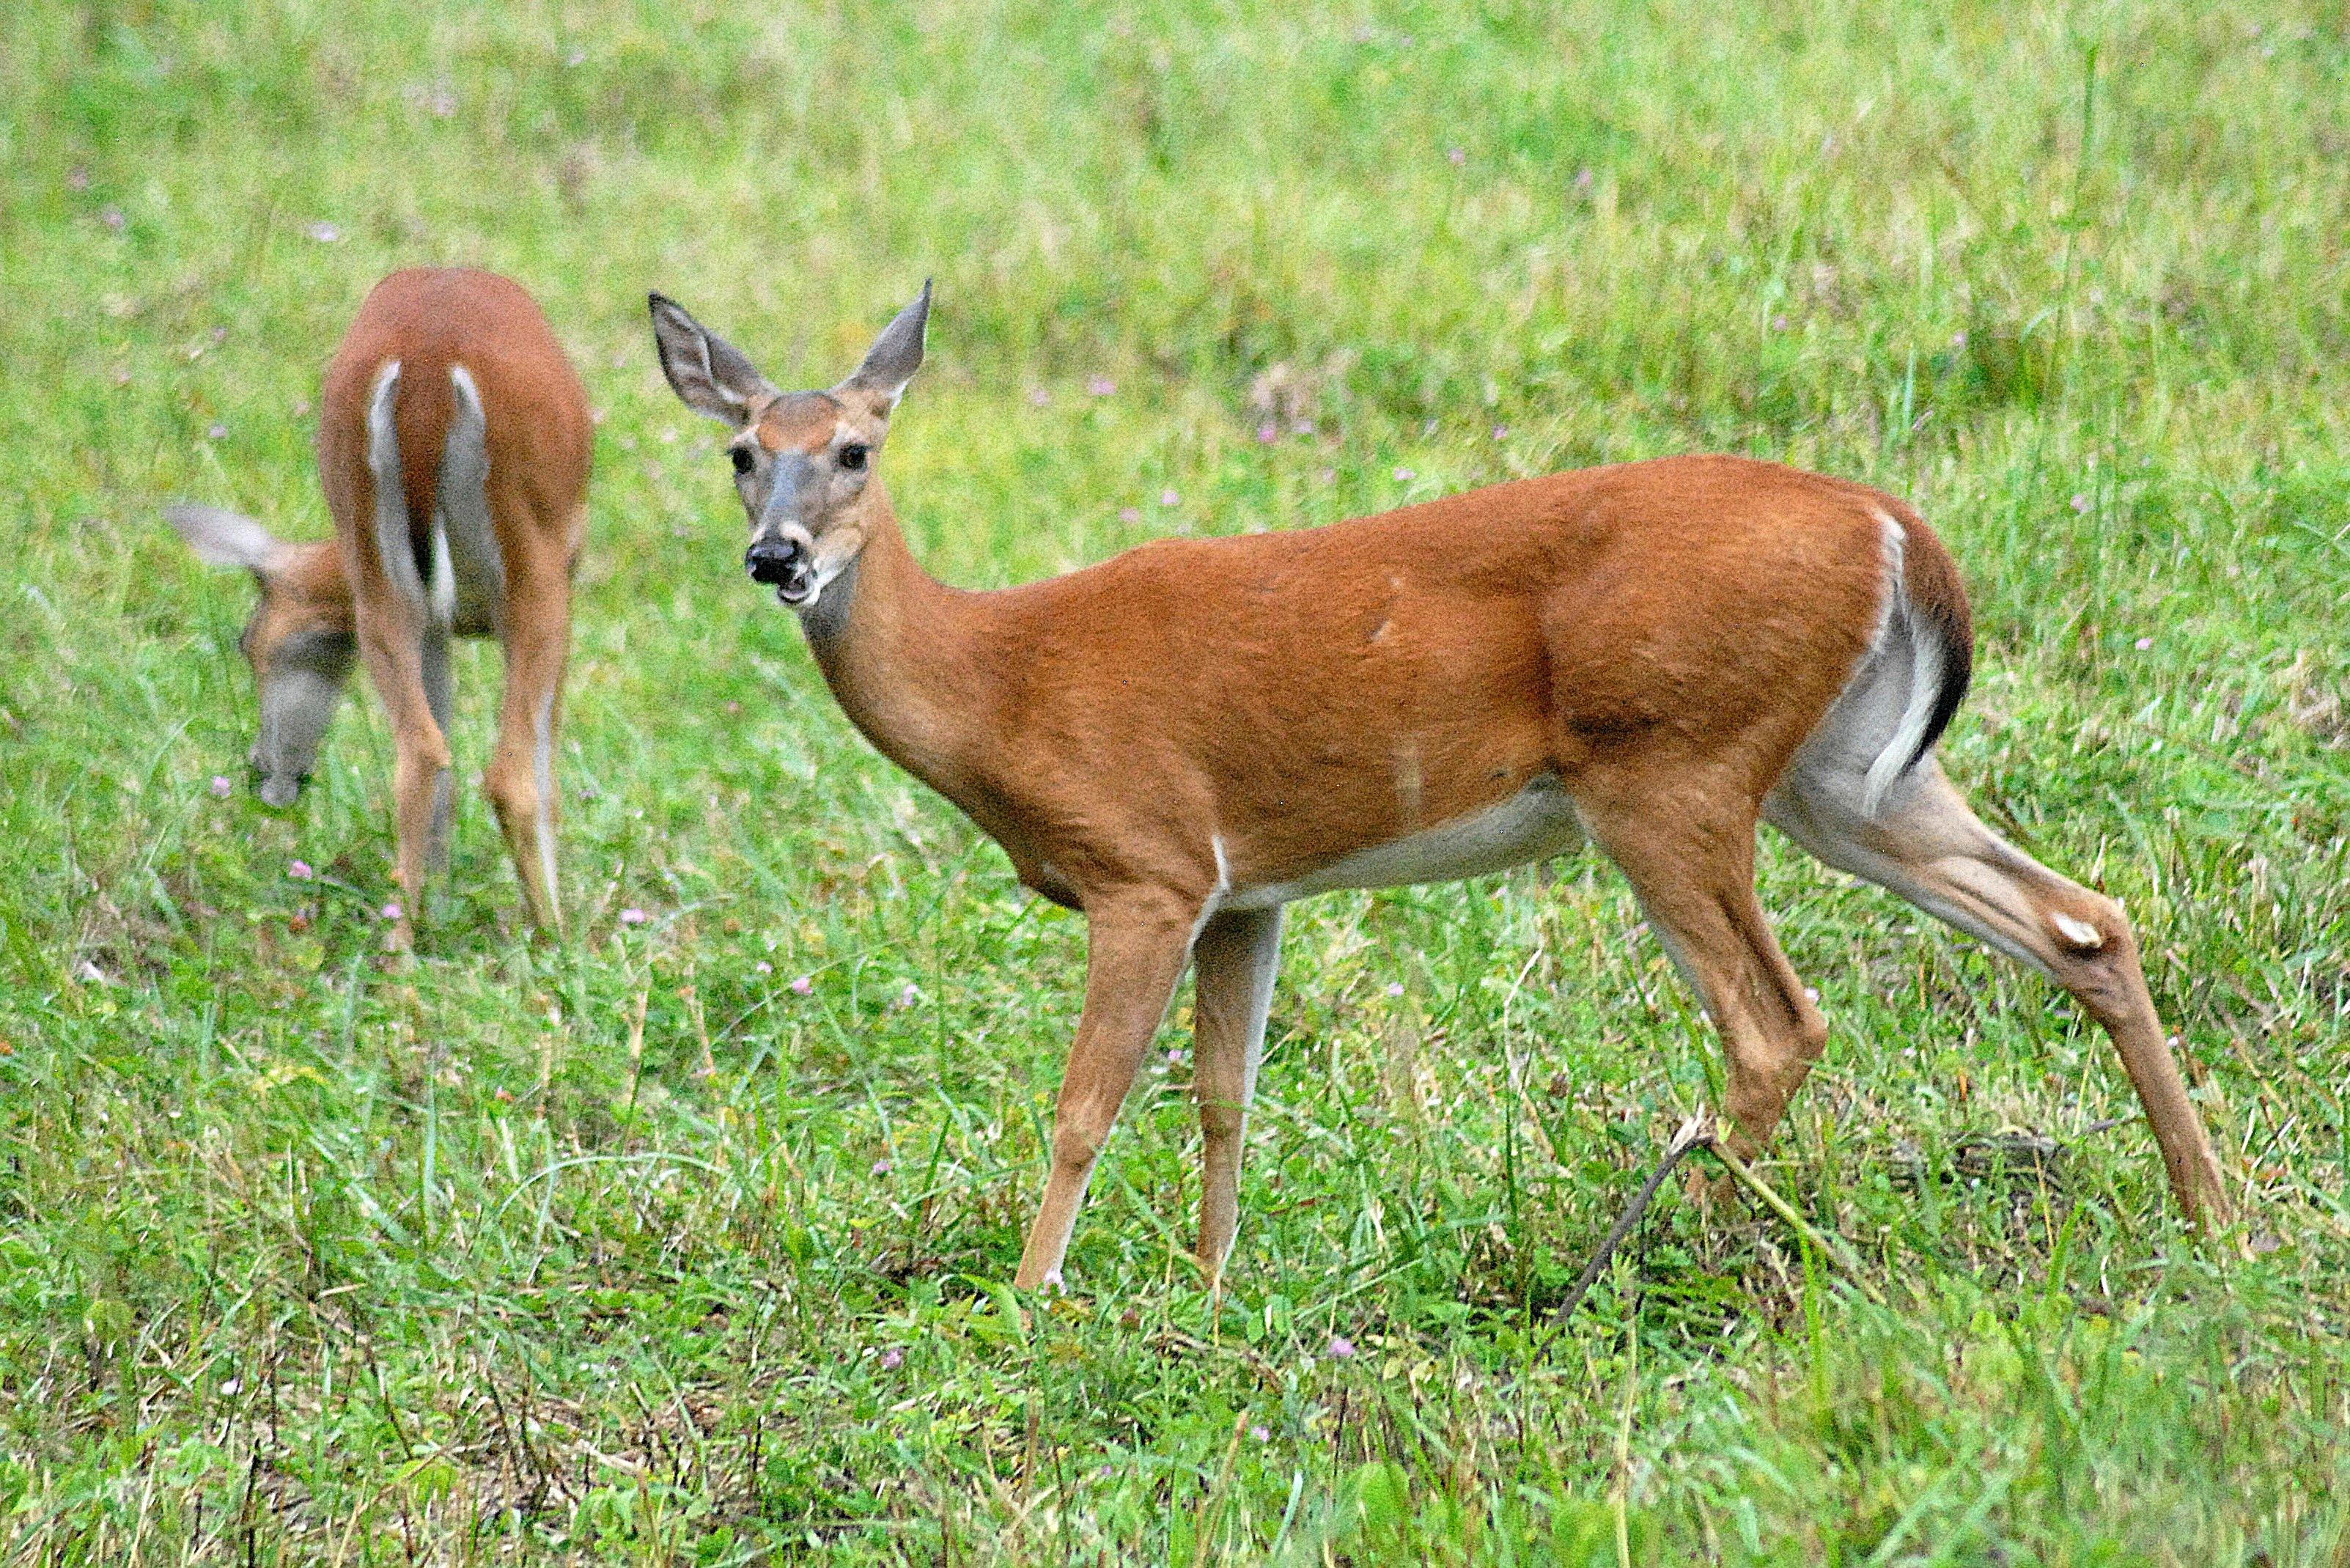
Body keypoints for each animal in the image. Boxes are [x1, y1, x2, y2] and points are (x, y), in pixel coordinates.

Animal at [166, 266, 587, 945]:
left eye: (248, 643)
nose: (263, 772)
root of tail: (426, 370)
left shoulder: (433, 622)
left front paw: (437, 897)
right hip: (535, 567)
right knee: (508, 773)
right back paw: (553, 935)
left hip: (380, 574)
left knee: (421, 752)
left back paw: (400, 937)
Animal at [653, 287, 2228, 1298]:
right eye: (738, 453)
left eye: (854, 448)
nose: (778, 555)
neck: (999, 679)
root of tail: (1895, 526)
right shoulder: (1246, 887)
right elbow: (1226, 1095)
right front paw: (1206, 1292)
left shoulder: (1143, 865)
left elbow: (1084, 1103)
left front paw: (1031, 1300)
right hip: (1843, 778)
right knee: (2083, 919)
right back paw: (2213, 1212)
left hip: (1668, 766)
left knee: (1778, 1022)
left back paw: (1657, 1260)